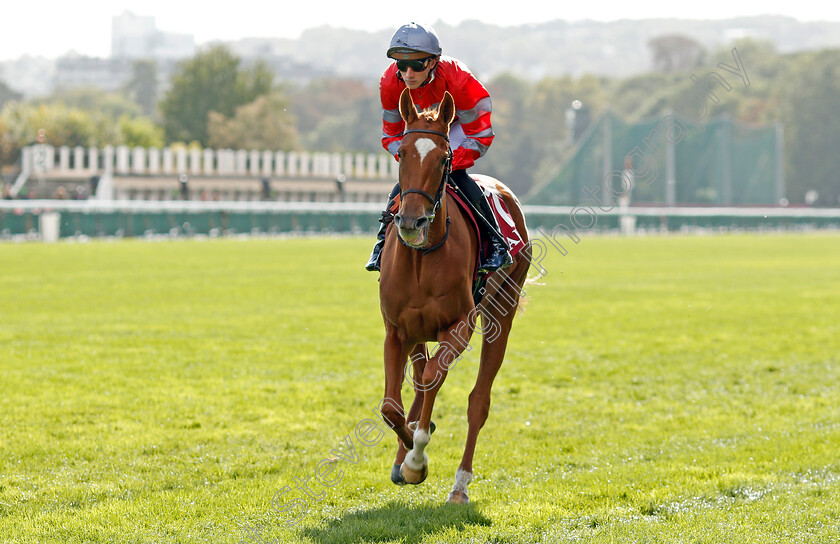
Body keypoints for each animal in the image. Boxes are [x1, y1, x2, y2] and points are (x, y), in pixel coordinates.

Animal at [380, 88, 532, 502]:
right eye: (401, 153)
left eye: (443, 158)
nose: (411, 220)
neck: (422, 255)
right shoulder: (396, 329)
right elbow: (391, 406)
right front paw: (405, 454)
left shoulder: (460, 325)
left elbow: (434, 378)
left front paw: (417, 458)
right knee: (418, 380)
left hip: (502, 309)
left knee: (477, 400)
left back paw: (459, 485)